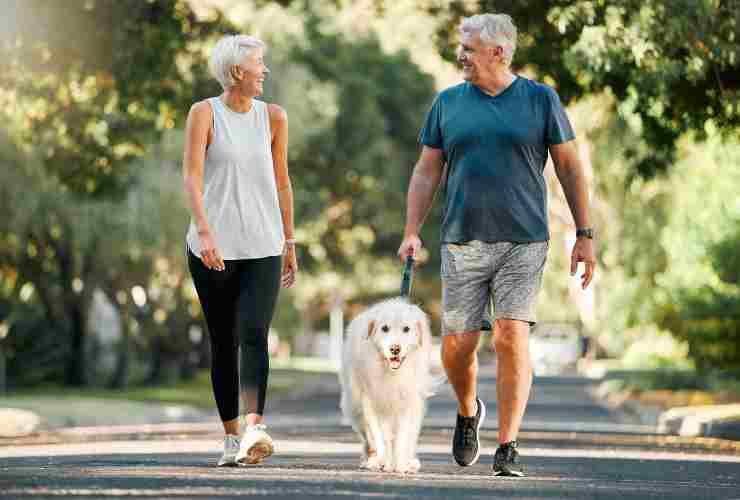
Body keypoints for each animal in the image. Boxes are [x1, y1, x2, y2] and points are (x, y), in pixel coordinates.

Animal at [342, 298, 440, 474]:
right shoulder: (372, 403)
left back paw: (408, 462)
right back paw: (373, 461)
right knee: (369, 439)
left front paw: (401, 465)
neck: (391, 373)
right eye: (384, 328)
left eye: (406, 329)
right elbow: (380, 437)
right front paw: (383, 462)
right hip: (355, 408)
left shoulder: (407, 403)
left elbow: (402, 438)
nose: (395, 349)